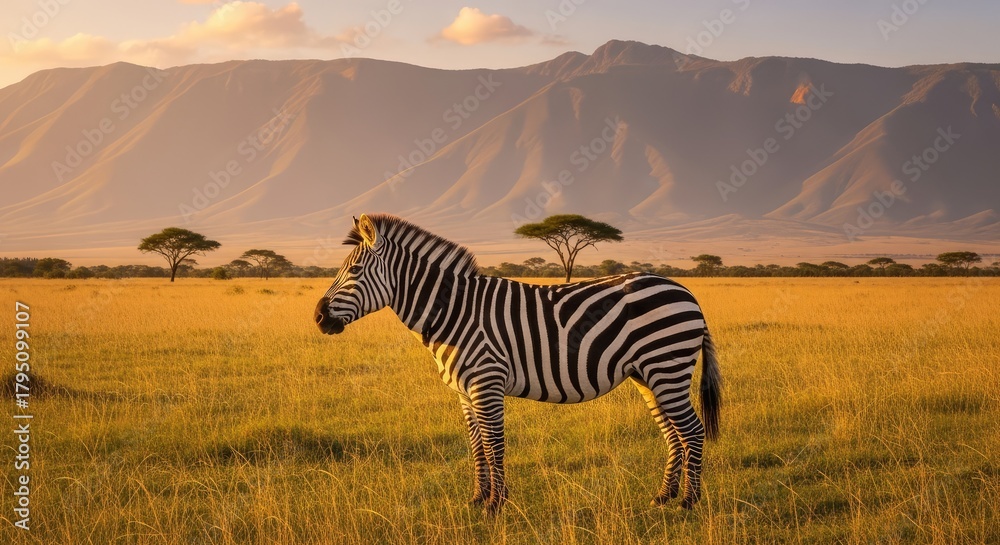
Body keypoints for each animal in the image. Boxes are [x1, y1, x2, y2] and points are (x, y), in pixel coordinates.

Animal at [315, 213, 721, 513]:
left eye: (353, 272)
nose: (318, 317)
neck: (454, 311)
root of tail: (687, 292)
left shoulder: (487, 382)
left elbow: (495, 443)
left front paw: (496, 504)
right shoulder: (464, 391)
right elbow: (476, 445)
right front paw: (477, 499)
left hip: (667, 367)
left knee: (692, 431)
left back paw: (689, 502)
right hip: (646, 375)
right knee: (672, 433)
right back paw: (663, 497)